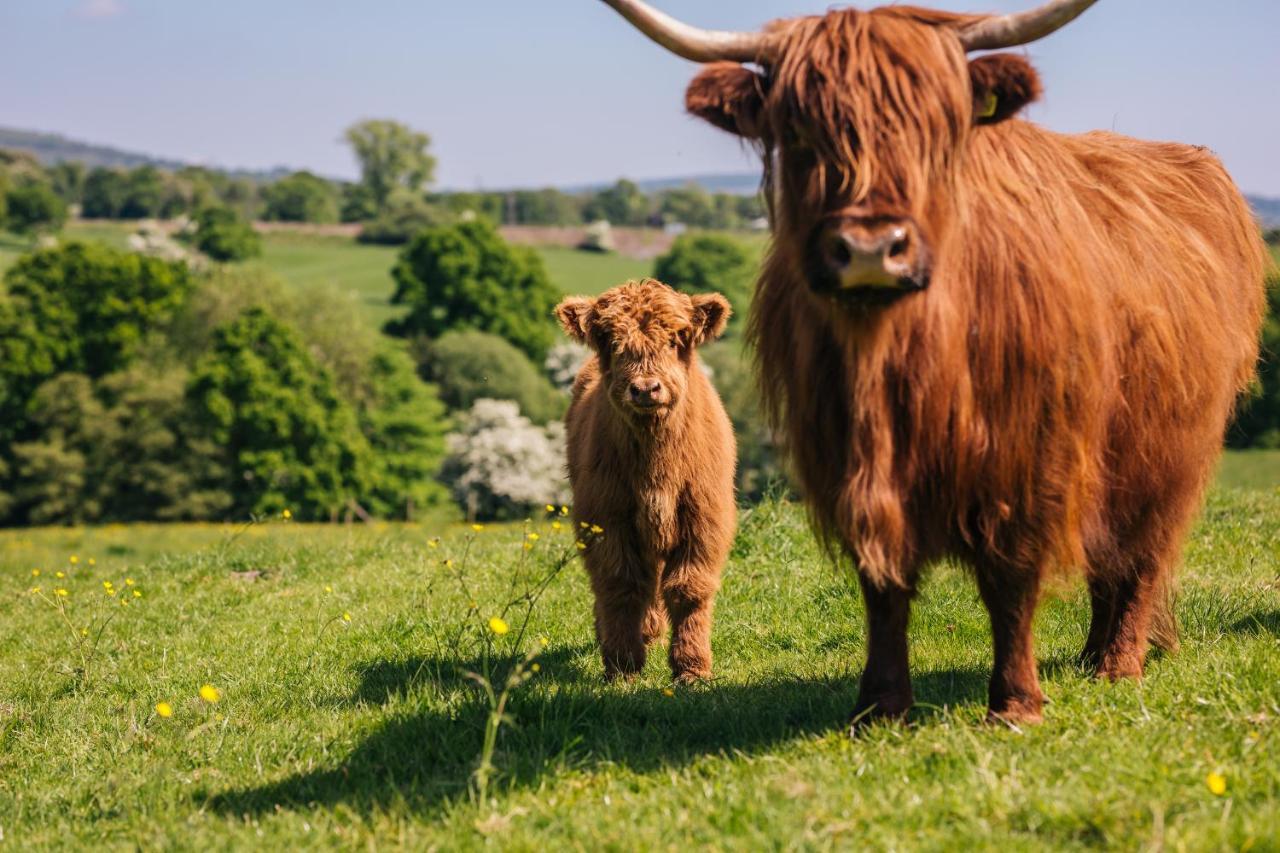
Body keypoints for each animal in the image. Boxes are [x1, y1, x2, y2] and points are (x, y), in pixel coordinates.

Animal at [555, 281, 737, 681]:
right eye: (612, 342)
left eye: (672, 340)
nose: (645, 388)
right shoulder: (606, 518)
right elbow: (620, 585)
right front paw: (622, 665)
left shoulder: (703, 519)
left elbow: (689, 588)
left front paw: (691, 668)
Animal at [601, 0, 1269, 722]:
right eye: (800, 130)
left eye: (934, 128)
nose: (870, 249)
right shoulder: (843, 455)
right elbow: (881, 581)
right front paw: (881, 705)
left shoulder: (1028, 456)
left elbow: (1012, 580)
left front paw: (1015, 703)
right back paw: (1092, 656)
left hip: (1166, 451)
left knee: (1138, 556)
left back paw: (1118, 665)